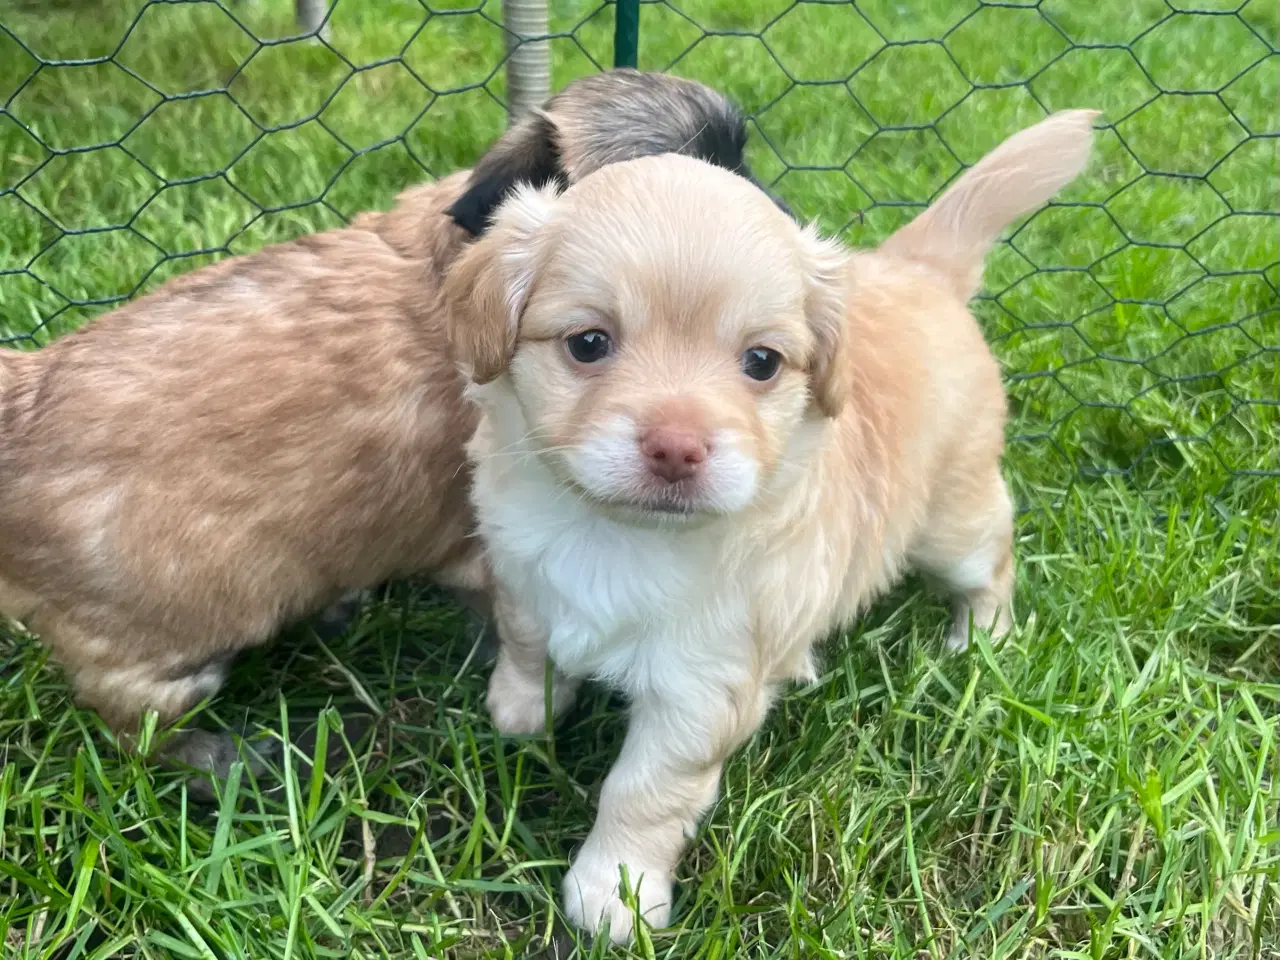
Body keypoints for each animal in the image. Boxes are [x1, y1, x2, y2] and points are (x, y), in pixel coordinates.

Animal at [442, 110, 1100, 942]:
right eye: (589, 343)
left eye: (761, 362)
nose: (677, 446)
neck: (616, 533)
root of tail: (920, 273)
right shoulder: (522, 568)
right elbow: (527, 637)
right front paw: (522, 709)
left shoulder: (702, 690)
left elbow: (643, 793)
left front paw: (615, 895)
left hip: (954, 518)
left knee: (993, 558)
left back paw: (979, 641)